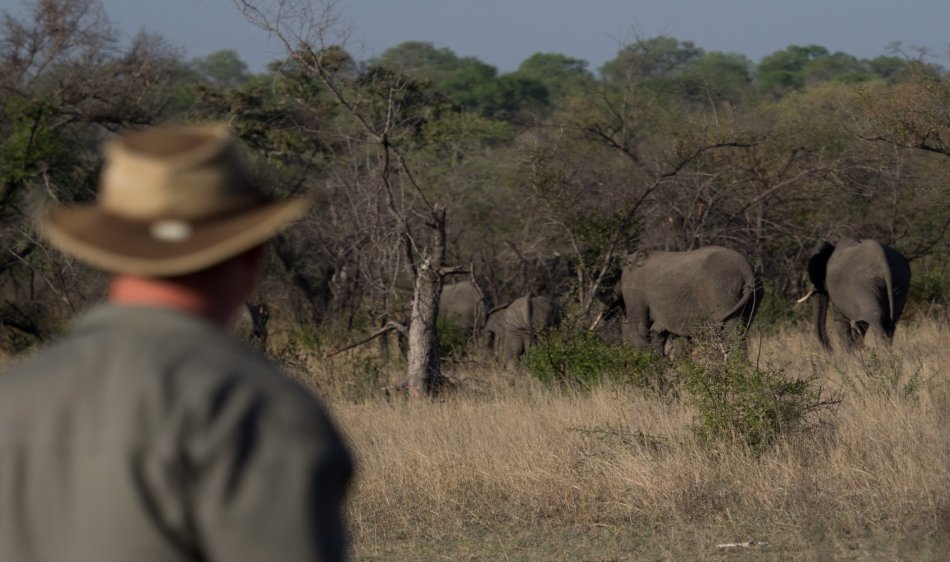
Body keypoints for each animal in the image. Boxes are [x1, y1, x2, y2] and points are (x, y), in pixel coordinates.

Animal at [612, 246, 764, 354]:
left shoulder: (634, 289)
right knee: (737, 335)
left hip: (722, 292)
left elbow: (639, 331)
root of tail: (747, 271)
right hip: (752, 297)